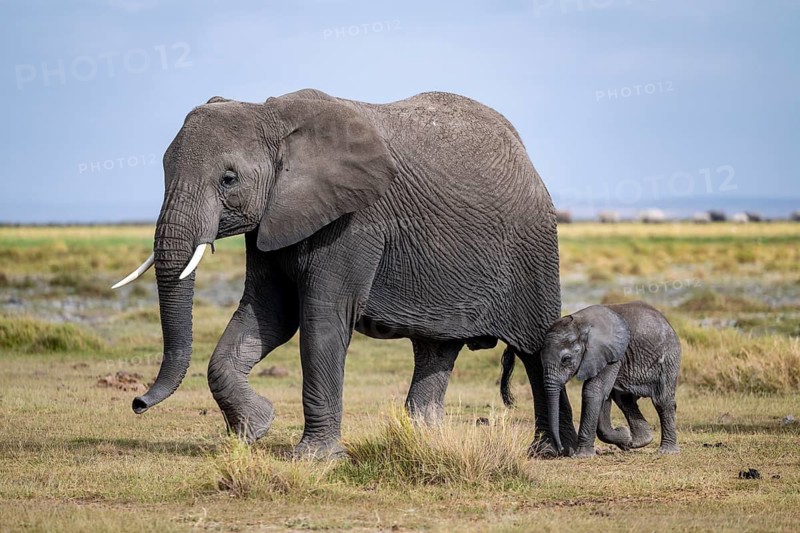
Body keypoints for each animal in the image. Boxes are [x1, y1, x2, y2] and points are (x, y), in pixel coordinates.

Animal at [112, 88, 578, 458]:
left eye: (229, 179)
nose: (137, 402)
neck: (272, 114)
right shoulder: (275, 217)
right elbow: (268, 315)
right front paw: (254, 429)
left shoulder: (354, 221)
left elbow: (322, 321)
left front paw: (313, 458)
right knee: (436, 349)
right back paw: (424, 442)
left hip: (535, 249)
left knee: (537, 350)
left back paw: (552, 452)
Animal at [536, 301, 681, 458]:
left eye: (566, 359)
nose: (561, 449)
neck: (582, 325)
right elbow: (603, 396)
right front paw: (624, 437)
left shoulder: (611, 354)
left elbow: (593, 391)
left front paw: (583, 455)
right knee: (624, 400)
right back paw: (637, 441)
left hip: (669, 357)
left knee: (662, 401)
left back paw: (667, 451)